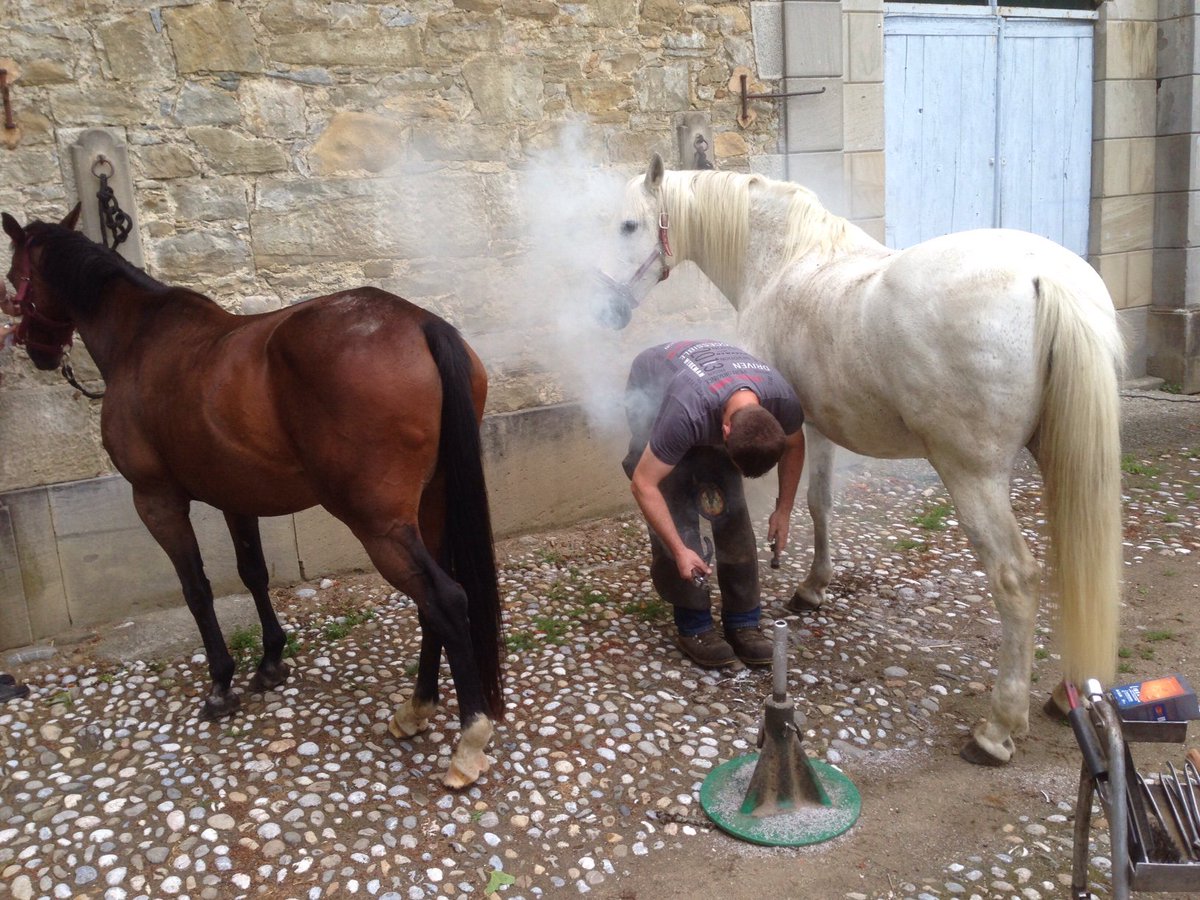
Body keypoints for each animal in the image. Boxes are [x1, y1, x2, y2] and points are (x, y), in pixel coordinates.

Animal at [2, 205, 505, 788]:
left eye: (14, 279)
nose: (36, 352)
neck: (141, 338)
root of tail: (422, 324)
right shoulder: (235, 497)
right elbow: (253, 574)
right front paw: (270, 663)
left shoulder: (156, 501)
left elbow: (197, 589)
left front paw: (221, 685)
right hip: (431, 506)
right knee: (432, 605)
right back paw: (416, 708)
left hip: (378, 524)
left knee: (444, 598)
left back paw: (467, 741)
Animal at [598, 155, 1123, 766]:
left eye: (628, 226)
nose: (606, 309)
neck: (784, 258)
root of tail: (1047, 279)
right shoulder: (813, 428)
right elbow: (821, 505)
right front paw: (815, 586)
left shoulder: (798, 426)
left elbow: (807, 506)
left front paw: (805, 585)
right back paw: (1069, 696)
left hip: (973, 475)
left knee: (1015, 579)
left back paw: (996, 730)